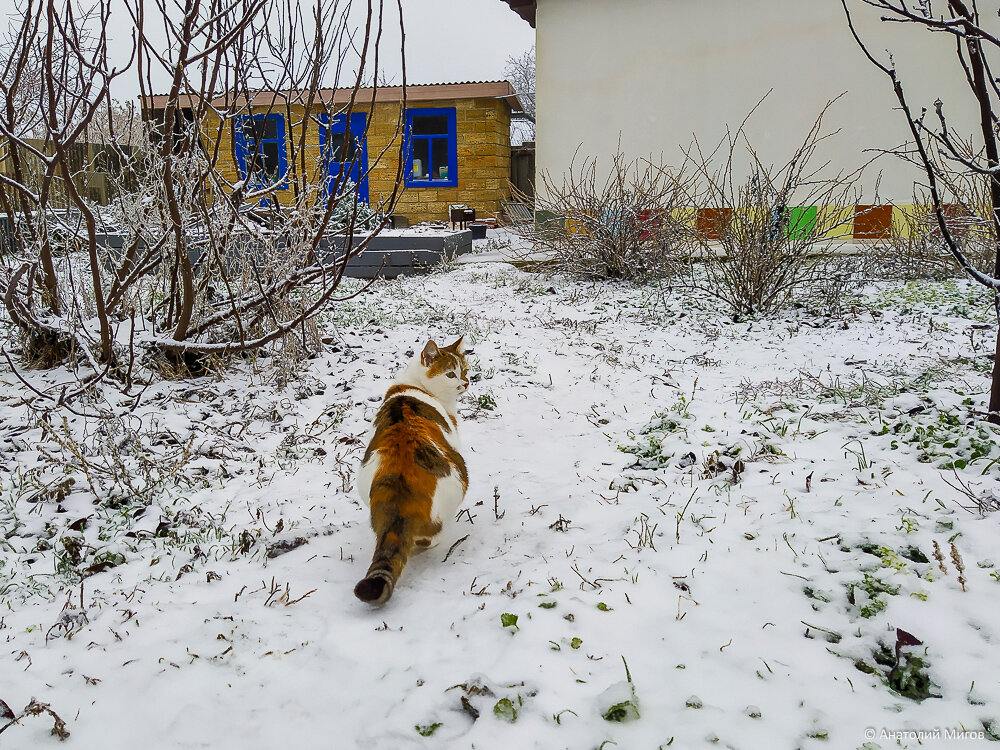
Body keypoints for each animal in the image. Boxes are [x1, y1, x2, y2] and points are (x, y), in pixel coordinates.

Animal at [354, 340, 470, 604]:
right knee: (429, 536)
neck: (414, 384)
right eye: (451, 374)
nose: (466, 383)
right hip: (460, 478)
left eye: (465, 369)